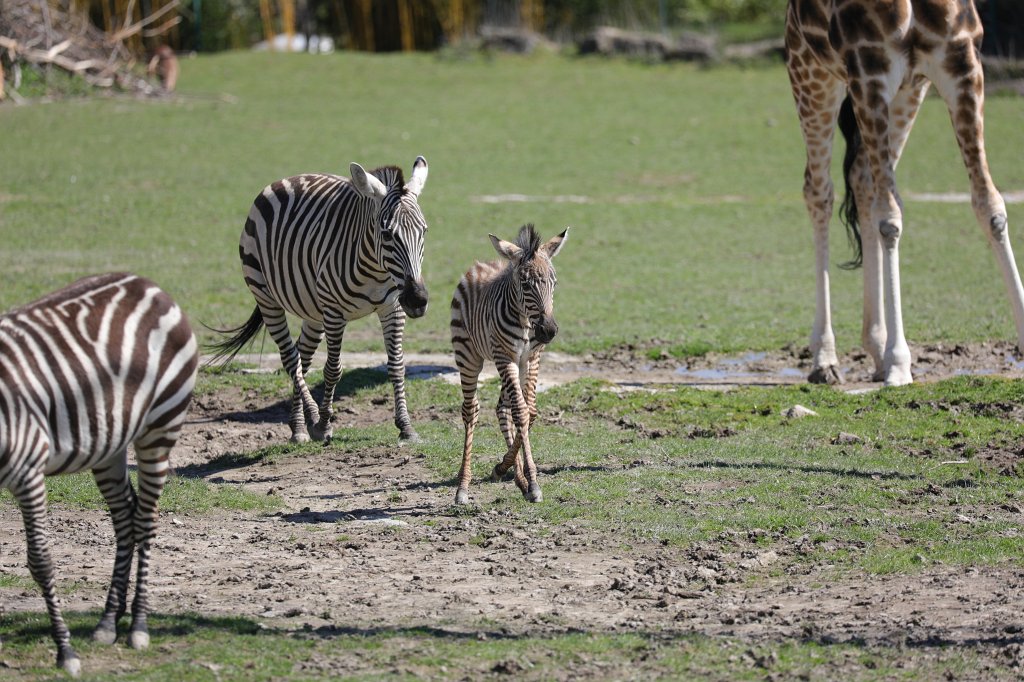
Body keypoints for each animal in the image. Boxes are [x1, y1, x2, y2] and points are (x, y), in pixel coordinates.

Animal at [0, 273, 198, 677]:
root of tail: (147, 284)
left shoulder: (28, 472)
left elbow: (40, 560)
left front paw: (65, 652)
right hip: (109, 443)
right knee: (126, 517)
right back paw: (109, 620)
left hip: (159, 428)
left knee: (146, 520)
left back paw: (138, 625)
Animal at [210, 157, 430, 444]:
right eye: (387, 234)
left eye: (424, 232)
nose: (417, 300)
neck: (376, 270)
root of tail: (288, 179)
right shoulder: (335, 312)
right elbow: (333, 369)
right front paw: (324, 423)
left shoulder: (392, 307)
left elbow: (397, 365)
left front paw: (406, 426)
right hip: (266, 296)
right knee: (290, 359)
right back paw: (310, 419)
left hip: (313, 311)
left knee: (302, 358)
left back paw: (298, 427)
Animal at [450, 224, 569, 505]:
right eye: (525, 284)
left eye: (554, 283)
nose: (548, 331)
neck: (527, 322)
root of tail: (483, 263)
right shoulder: (505, 356)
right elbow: (522, 412)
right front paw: (533, 482)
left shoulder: (531, 358)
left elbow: (529, 412)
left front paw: (515, 473)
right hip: (469, 356)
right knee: (471, 411)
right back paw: (463, 486)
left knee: (502, 408)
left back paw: (515, 477)